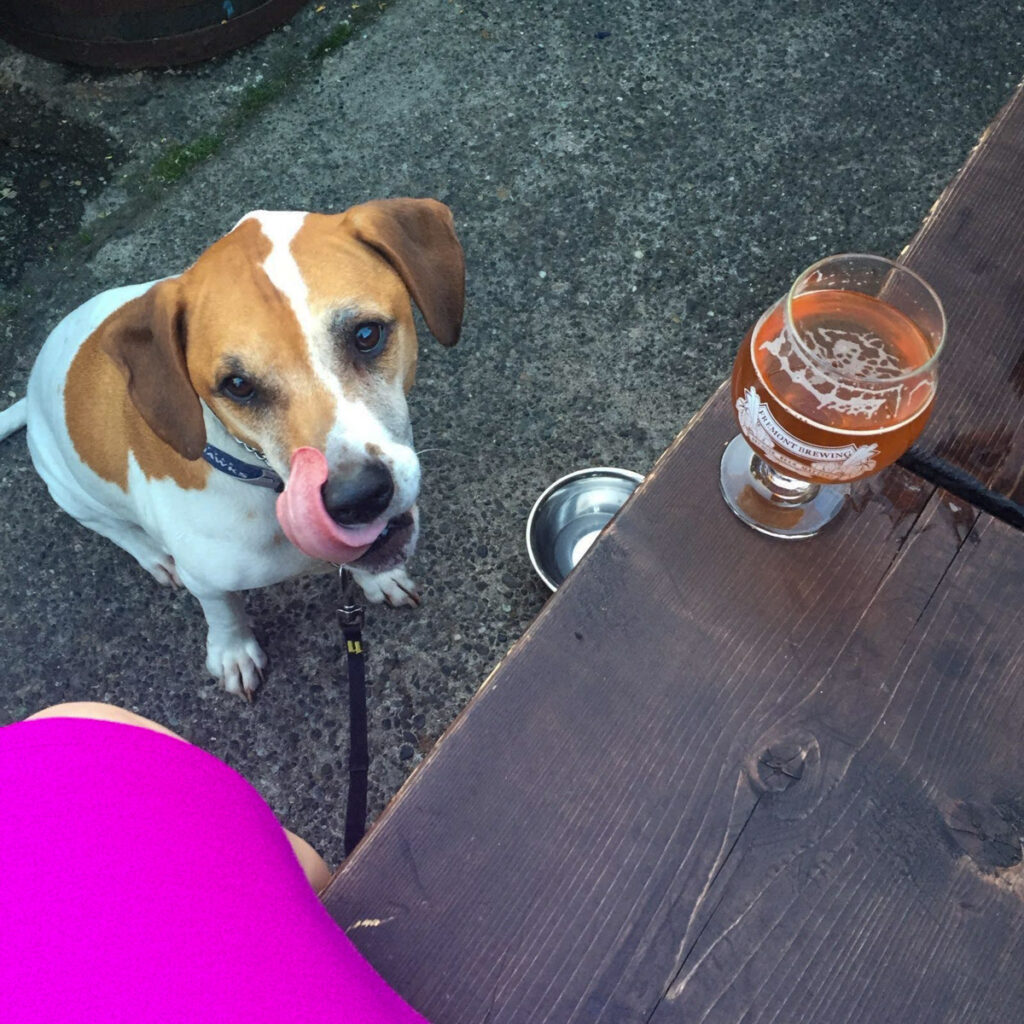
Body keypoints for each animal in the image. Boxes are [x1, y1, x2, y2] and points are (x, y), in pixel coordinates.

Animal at [0, 196, 464, 700]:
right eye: (238, 385)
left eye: (366, 335)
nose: (357, 498)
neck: (260, 478)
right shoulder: (207, 579)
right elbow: (222, 612)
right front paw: (232, 653)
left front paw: (378, 579)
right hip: (68, 490)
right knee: (114, 529)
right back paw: (154, 556)